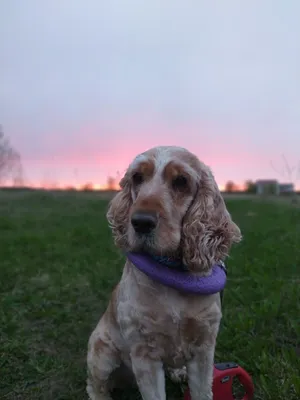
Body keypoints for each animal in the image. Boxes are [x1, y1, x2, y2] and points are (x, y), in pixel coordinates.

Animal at [85, 145, 240, 398]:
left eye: (181, 181)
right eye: (137, 177)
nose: (141, 222)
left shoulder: (204, 348)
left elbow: (202, 392)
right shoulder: (145, 354)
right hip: (101, 353)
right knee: (95, 385)